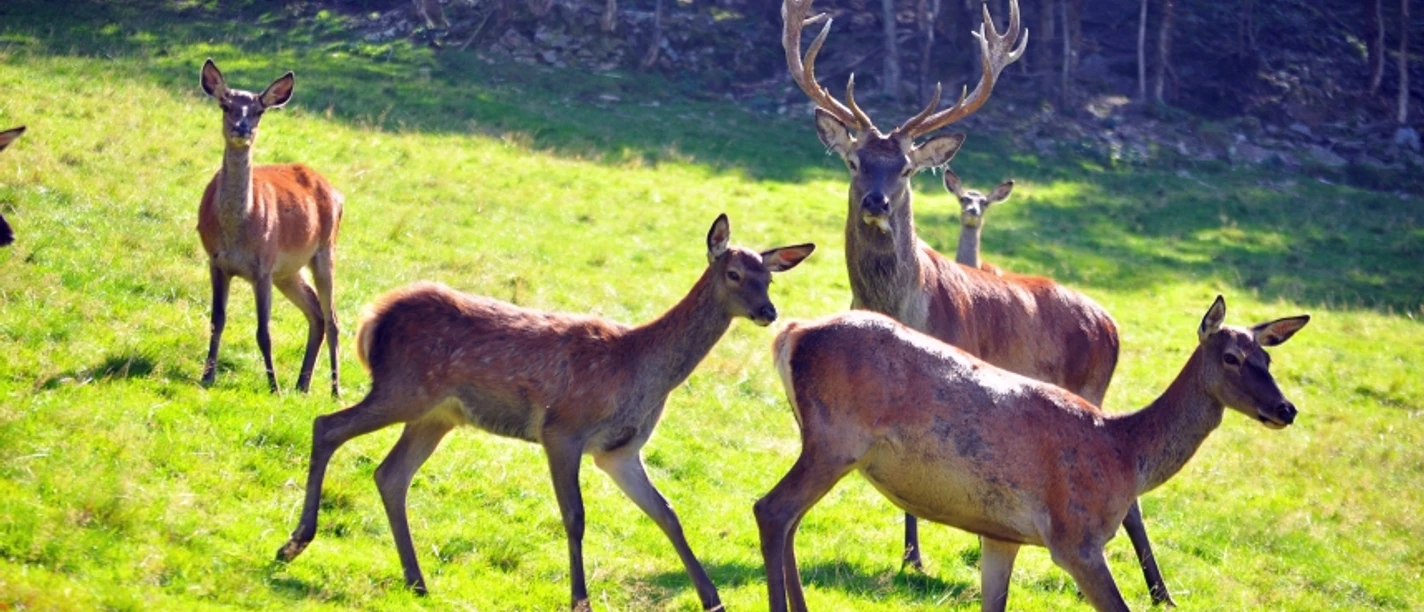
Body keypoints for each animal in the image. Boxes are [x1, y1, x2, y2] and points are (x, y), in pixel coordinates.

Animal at [196, 59, 344, 396]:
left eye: (258, 110)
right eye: (225, 105)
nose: (242, 128)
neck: (236, 231)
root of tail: (336, 192)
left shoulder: (263, 265)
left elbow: (264, 331)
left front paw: (273, 386)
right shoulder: (215, 261)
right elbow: (216, 320)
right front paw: (206, 376)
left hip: (324, 250)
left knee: (332, 317)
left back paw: (334, 389)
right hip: (288, 271)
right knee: (316, 313)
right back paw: (302, 384)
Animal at [274, 214, 814, 611]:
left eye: (769, 278)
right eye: (734, 274)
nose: (768, 312)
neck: (638, 371)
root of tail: (374, 318)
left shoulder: (619, 452)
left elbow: (667, 513)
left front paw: (712, 599)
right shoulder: (563, 429)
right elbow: (574, 516)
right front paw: (580, 599)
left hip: (437, 415)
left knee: (390, 474)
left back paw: (417, 580)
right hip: (403, 388)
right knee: (328, 426)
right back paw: (295, 541)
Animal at [757, 296, 1309, 611]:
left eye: (1268, 357)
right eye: (1232, 357)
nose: (1286, 409)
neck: (1125, 453)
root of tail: (792, 334)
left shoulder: (1002, 534)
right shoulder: (1075, 538)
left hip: (823, 443)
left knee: (788, 518)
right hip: (837, 440)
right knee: (771, 509)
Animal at [780, 0, 1173, 601]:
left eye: (906, 168)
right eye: (853, 162)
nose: (876, 201)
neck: (904, 303)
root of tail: (1111, 323)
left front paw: (916, 556)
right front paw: (910, 555)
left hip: (1093, 386)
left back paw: (1159, 589)